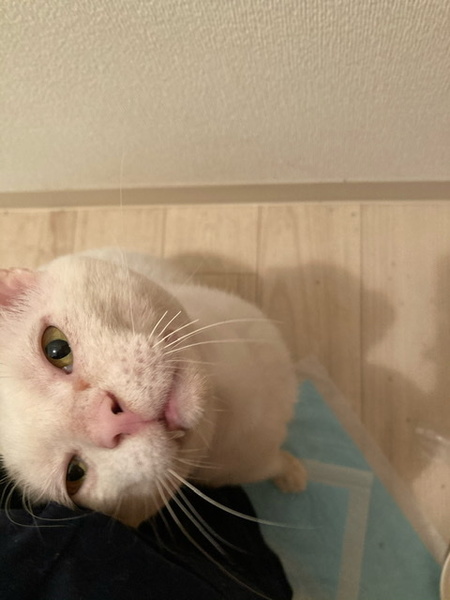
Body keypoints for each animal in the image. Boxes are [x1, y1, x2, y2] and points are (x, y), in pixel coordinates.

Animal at [0, 248, 306, 527]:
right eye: (74, 474)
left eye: (56, 348)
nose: (110, 419)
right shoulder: (249, 466)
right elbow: (275, 462)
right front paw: (293, 473)